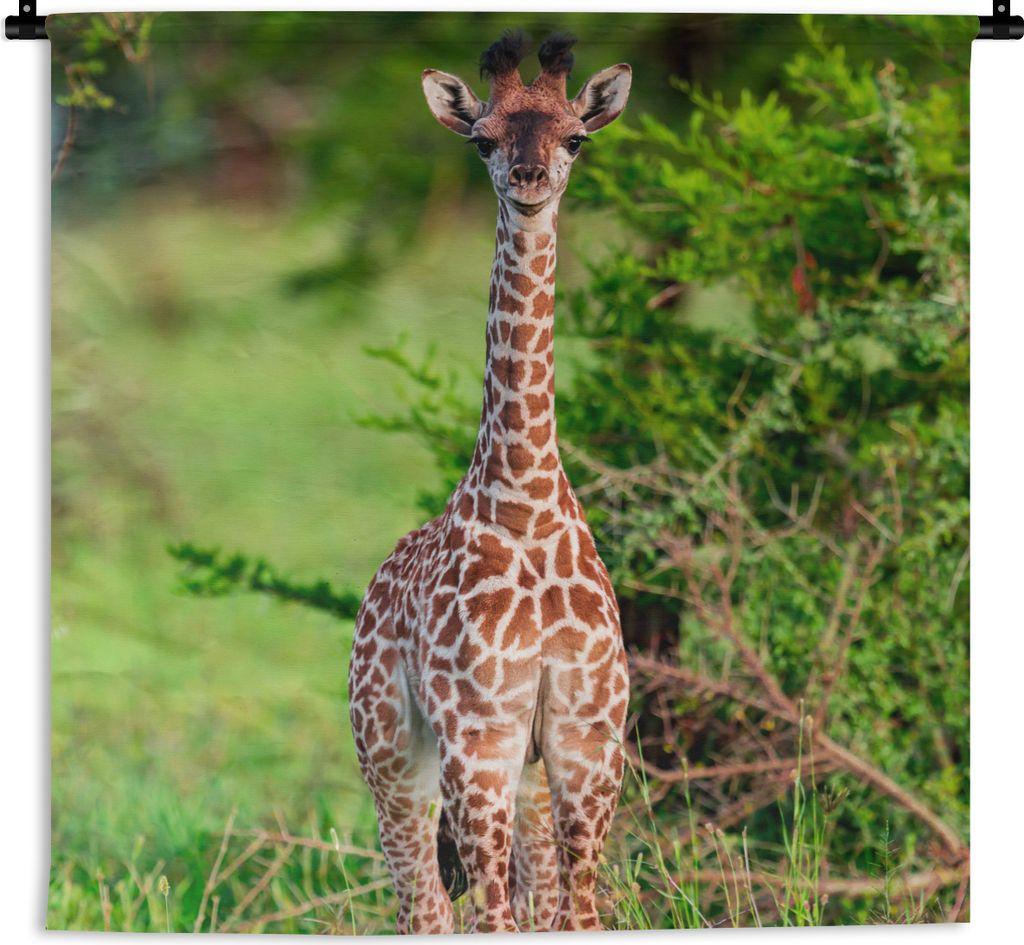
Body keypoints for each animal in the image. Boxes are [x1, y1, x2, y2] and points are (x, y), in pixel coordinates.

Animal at [348, 30, 632, 935]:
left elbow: (577, 916)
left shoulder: (584, 742)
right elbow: (487, 917)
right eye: (483, 140)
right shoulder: (479, 740)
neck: (527, 499)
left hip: (527, 780)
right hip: (392, 754)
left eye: (575, 137)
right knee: (425, 904)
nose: (531, 181)